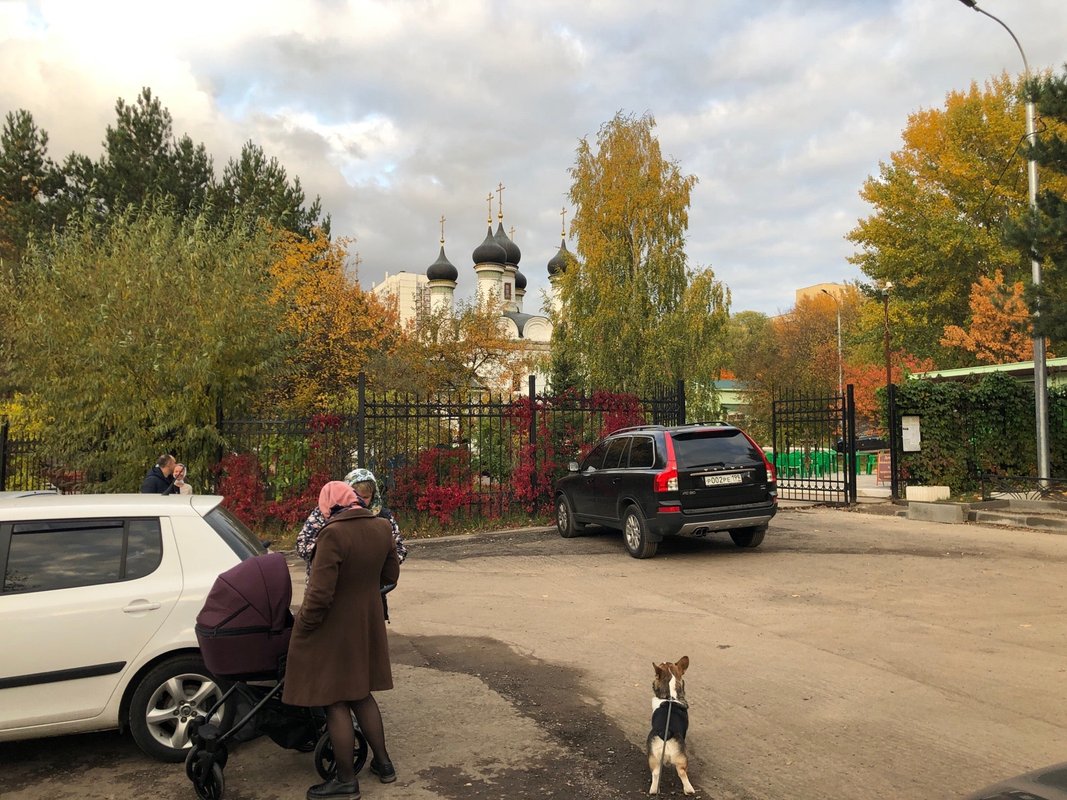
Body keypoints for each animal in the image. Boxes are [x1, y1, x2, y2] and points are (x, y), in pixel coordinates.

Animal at [644, 657, 695, 797]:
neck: (671, 697)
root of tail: (666, 733)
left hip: (654, 757)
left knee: (656, 772)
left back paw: (654, 790)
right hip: (681, 758)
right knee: (682, 772)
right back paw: (689, 790)